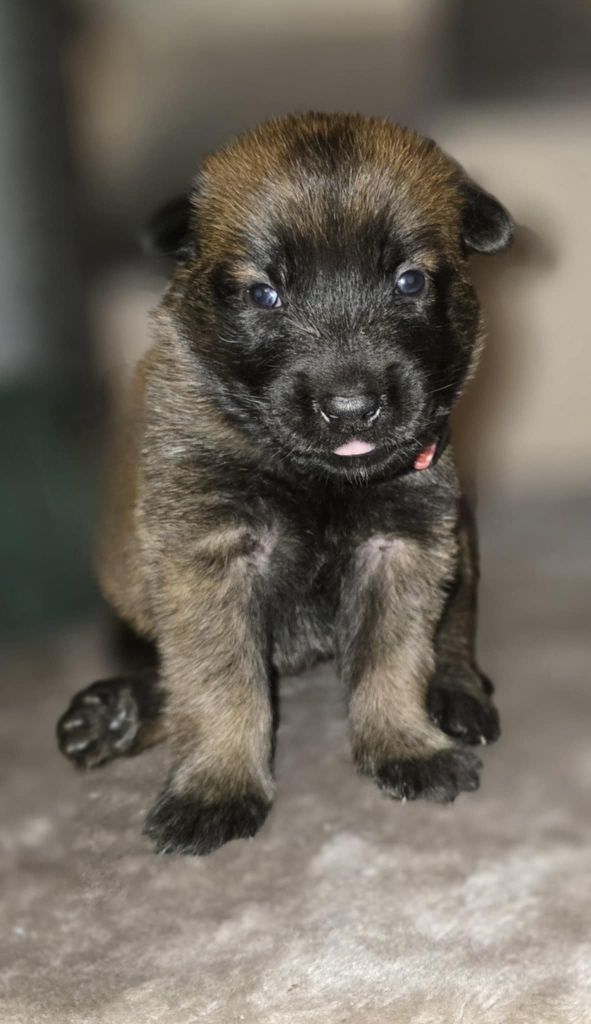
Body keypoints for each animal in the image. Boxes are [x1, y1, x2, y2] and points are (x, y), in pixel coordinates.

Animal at [57, 112, 508, 856]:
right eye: (263, 293)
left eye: (409, 281)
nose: (351, 407)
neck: (315, 478)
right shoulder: (210, 556)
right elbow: (220, 681)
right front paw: (217, 787)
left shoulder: (403, 542)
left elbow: (395, 655)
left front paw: (405, 746)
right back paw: (113, 714)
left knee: (456, 628)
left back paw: (459, 695)